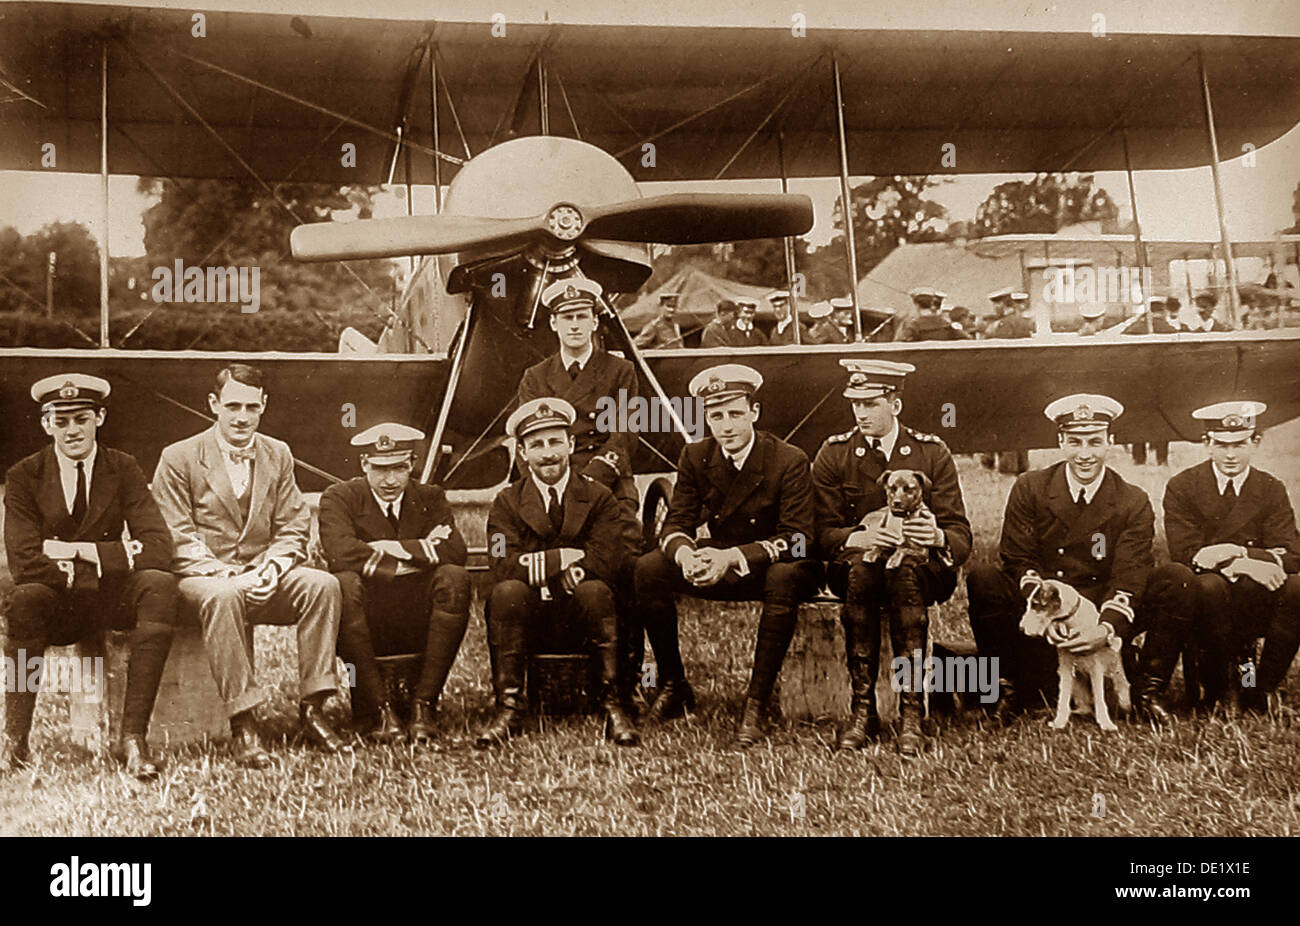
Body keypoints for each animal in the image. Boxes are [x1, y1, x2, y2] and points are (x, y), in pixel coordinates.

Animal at [1024, 577, 1128, 728]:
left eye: (1035, 604)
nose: (1021, 628)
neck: (1070, 621)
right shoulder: (1065, 666)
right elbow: (1063, 695)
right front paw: (1059, 722)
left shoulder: (1096, 667)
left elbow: (1099, 696)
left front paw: (1106, 724)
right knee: (1084, 706)